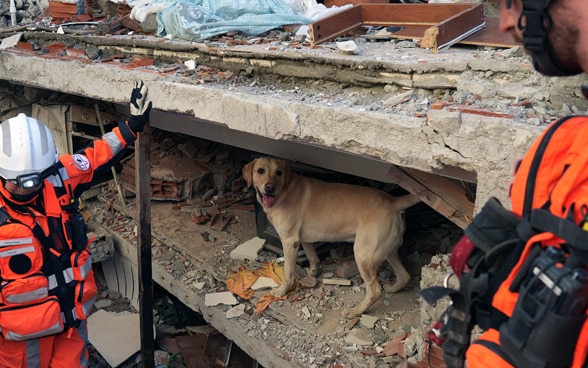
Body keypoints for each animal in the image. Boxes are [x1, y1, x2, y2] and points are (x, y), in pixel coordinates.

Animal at [243, 157, 422, 318]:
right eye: (260, 171)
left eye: (278, 173)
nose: (270, 187)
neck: (285, 190)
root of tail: (393, 201)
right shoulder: (303, 239)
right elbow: (312, 256)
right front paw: (314, 272)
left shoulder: (289, 241)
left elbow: (288, 272)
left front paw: (281, 291)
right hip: (387, 250)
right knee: (404, 276)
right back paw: (393, 288)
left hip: (363, 255)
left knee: (375, 291)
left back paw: (356, 311)